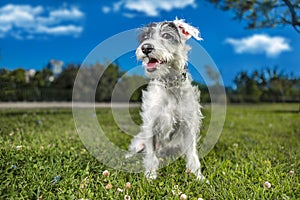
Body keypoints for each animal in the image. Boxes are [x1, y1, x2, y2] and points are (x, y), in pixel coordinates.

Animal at [126, 18, 206, 181]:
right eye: (145, 37)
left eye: (167, 36)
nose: (146, 48)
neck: (169, 84)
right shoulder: (151, 124)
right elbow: (150, 156)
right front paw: (150, 176)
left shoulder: (189, 124)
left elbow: (192, 154)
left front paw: (198, 176)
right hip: (139, 143)